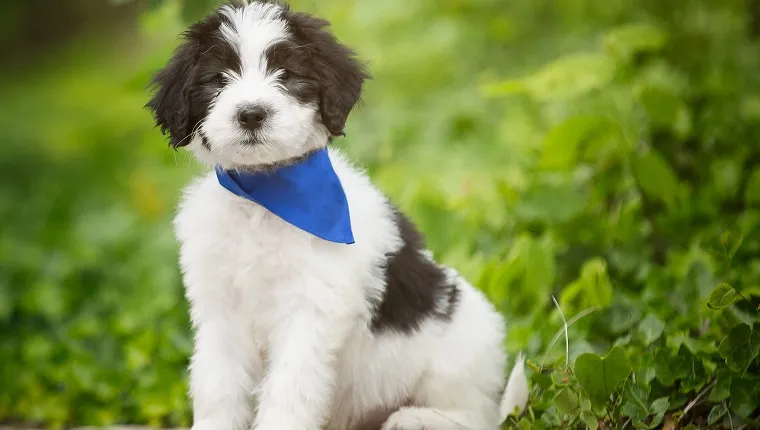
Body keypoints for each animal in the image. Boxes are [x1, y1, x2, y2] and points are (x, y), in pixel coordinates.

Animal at [148, 1, 528, 428]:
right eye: (217, 79)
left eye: (287, 74)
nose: (251, 114)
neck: (265, 196)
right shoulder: (219, 310)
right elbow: (218, 385)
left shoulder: (309, 310)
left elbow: (289, 388)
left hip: (457, 348)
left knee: (474, 415)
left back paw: (414, 418)